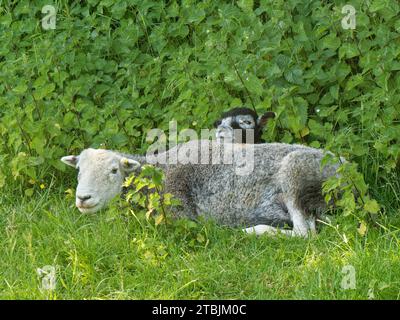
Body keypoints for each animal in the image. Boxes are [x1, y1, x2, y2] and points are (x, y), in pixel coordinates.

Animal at [61, 141, 340, 238]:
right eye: (78, 170)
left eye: (114, 171)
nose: (83, 198)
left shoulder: (177, 210)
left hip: (296, 173)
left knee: (306, 234)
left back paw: (252, 231)